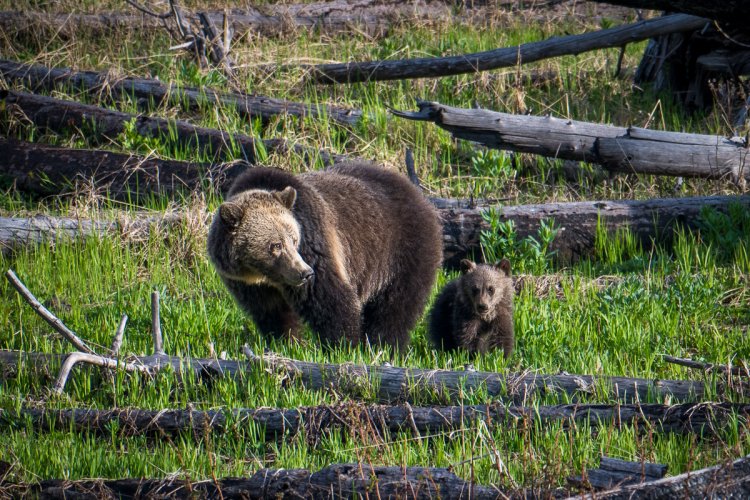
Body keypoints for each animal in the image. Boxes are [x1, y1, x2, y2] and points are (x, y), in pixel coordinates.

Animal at [206, 163, 444, 348]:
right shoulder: (249, 284)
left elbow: (330, 298)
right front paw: (286, 342)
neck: (262, 274)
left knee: (395, 306)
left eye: (294, 240)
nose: (304, 273)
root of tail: (416, 192)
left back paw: (383, 345)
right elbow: (272, 313)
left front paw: (342, 345)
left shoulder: (315, 243)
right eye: (276, 245)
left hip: (401, 250)